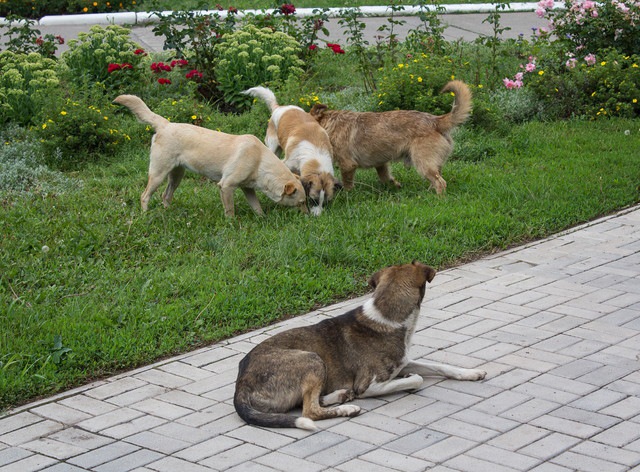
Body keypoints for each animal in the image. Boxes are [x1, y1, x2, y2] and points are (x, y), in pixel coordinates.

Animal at [113, 95, 308, 217]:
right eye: (301, 203)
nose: (308, 217)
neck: (259, 161)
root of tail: (165, 125)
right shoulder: (226, 186)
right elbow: (230, 210)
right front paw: (232, 224)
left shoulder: (248, 188)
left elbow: (256, 206)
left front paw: (262, 218)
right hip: (158, 174)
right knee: (145, 195)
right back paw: (145, 215)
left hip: (176, 176)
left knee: (165, 196)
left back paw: (167, 213)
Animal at [232, 262, 488, 432]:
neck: (388, 317)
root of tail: (240, 384)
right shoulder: (369, 385)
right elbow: (416, 380)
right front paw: (411, 380)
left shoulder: (404, 361)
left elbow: (441, 366)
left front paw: (471, 373)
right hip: (312, 359)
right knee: (310, 411)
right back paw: (346, 407)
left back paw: (340, 396)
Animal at [242, 86, 340, 216]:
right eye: (313, 200)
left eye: (326, 202)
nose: (317, 216)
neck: (316, 155)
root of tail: (279, 107)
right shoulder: (288, 164)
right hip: (273, 146)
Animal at [308, 80, 472, 195]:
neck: (328, 125)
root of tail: (437, 121)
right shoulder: (381, 164)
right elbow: (386, 177)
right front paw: (395, 185)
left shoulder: (347, 165)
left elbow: (347, 183)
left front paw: (348, 195)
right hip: (432, 164)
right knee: (436, 179)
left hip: (423, 163)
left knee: (440, 183)